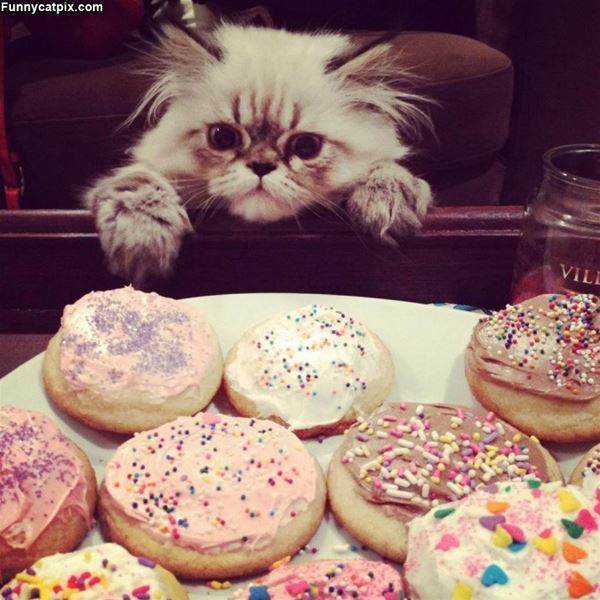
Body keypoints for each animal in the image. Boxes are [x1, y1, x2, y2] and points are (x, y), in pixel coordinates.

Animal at [86, 24, 433, 285]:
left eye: (306, 146)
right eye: (223, 137)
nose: (261, 166)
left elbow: (387, 168)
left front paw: (388, 200)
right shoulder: (142, 169)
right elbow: (138, 182)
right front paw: (141, 238)